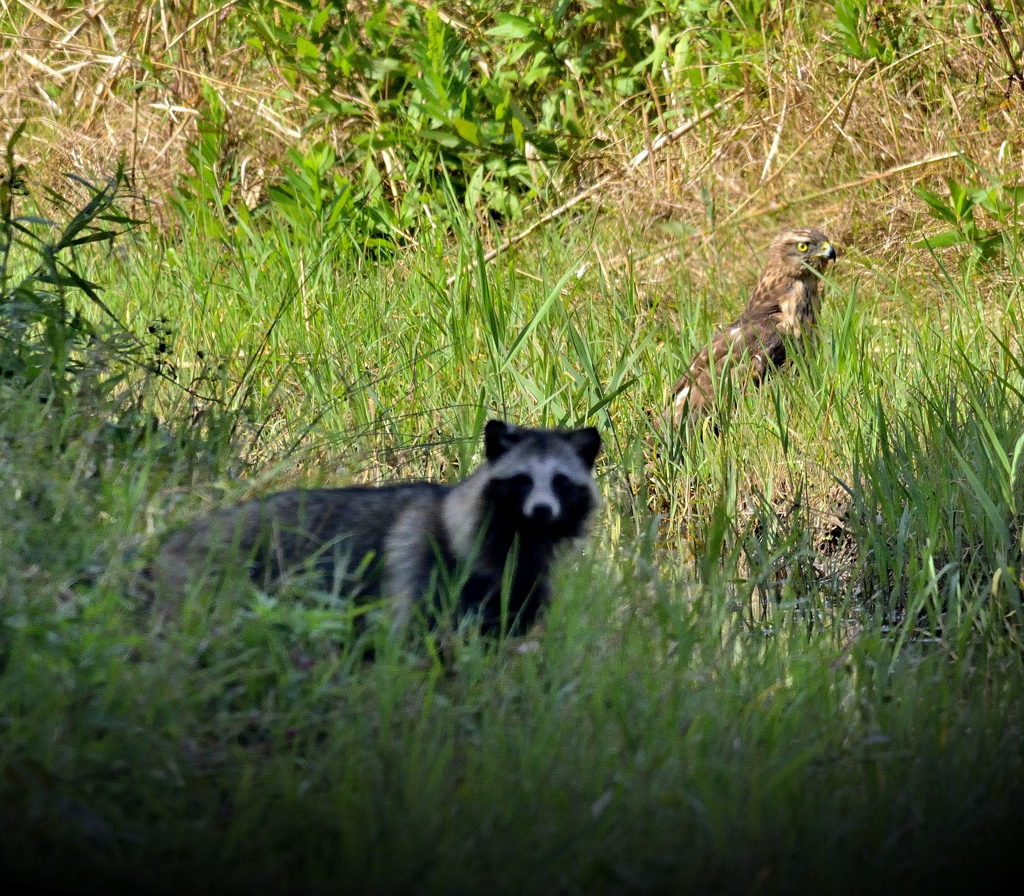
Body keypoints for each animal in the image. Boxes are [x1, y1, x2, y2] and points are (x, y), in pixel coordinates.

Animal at [149, 421, 602, 638]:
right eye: (523, 480)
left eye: (561, 481)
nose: (541, 510)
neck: (520, 539)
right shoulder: (425, 558)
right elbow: (417, 638)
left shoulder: (523, 586)